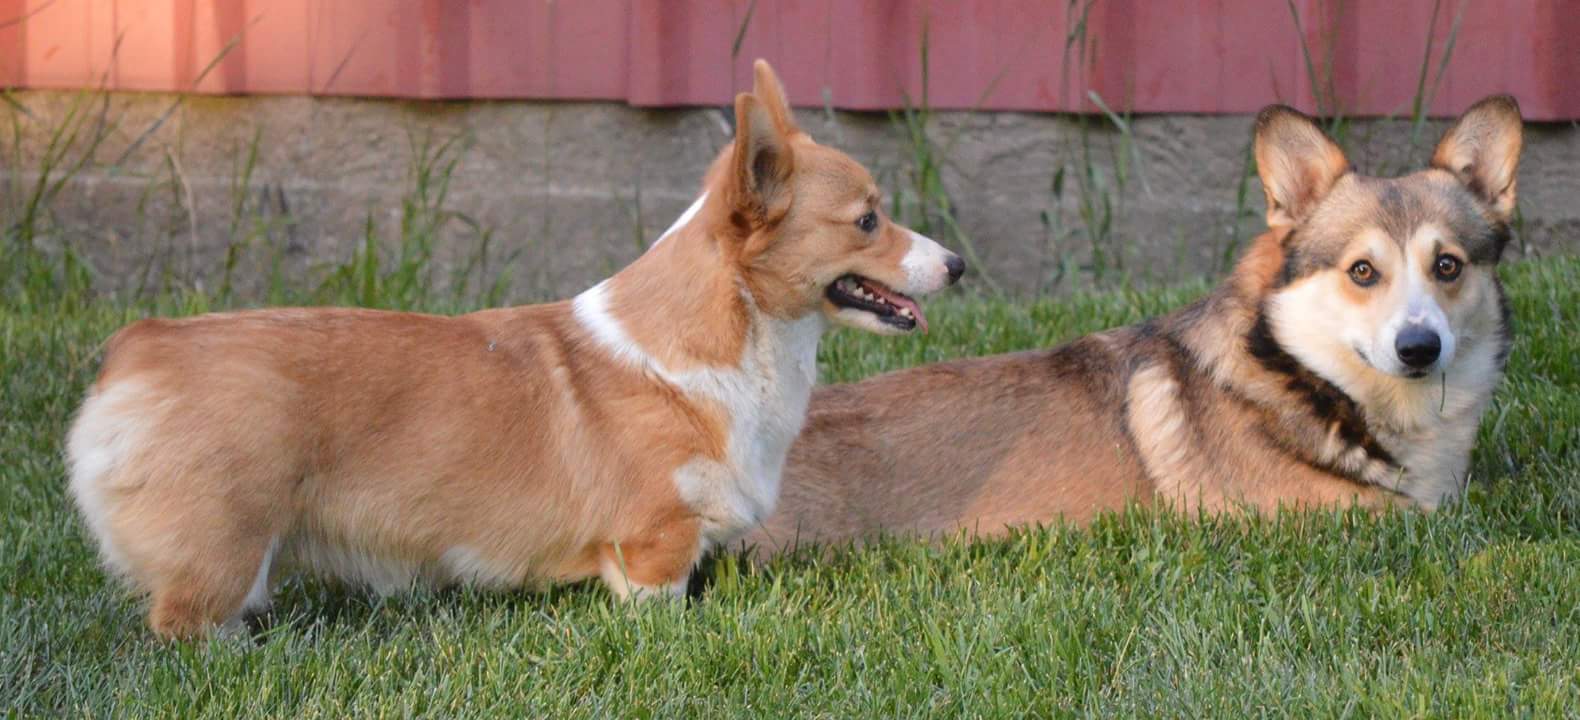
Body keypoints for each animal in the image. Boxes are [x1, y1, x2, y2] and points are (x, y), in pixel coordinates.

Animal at [67, 59, 960, 637]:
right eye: (869, 220)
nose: (957, 263)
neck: (731, 341)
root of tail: (137, 354)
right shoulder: (653, 545)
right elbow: (662, 609)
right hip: (226, 547)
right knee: (187, 622)